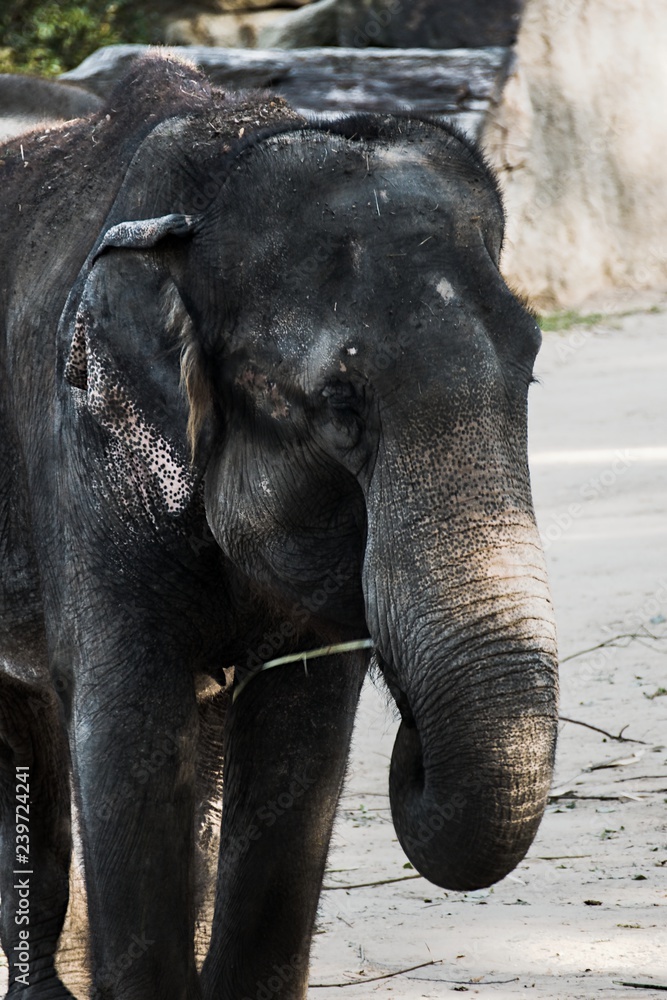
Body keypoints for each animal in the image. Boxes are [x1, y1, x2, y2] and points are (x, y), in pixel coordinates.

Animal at [0, 52, 558, 1000]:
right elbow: (127, 732)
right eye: (339, 407)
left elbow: (299, 741)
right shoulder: (86, 451)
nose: (412, 744)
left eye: (529, 371)